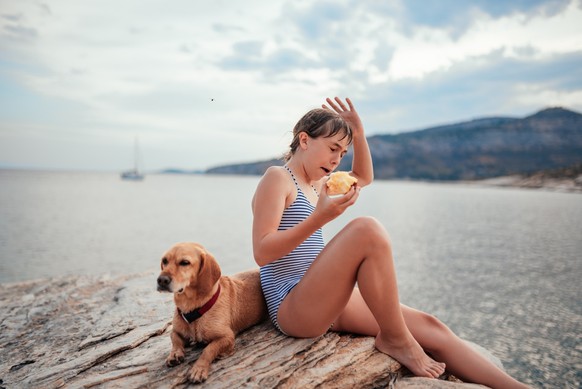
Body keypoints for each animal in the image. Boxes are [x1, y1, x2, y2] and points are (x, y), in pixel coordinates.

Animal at [159, 242, 270, 382]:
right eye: (165, 261)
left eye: (185, 262)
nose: (161, 280)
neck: (193, 308)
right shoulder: (176, 331)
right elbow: (175, 339)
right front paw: (174, 354)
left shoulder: (227, 337)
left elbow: (208, 350)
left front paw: (199, 368)